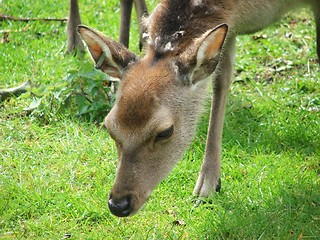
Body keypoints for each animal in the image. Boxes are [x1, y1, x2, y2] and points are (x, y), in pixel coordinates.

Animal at [77, 0, 318, 218]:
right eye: (109, 127)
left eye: (165, 131)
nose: (118, 204)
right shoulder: (229, 26)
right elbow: (221, 78)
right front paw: (209, 185)